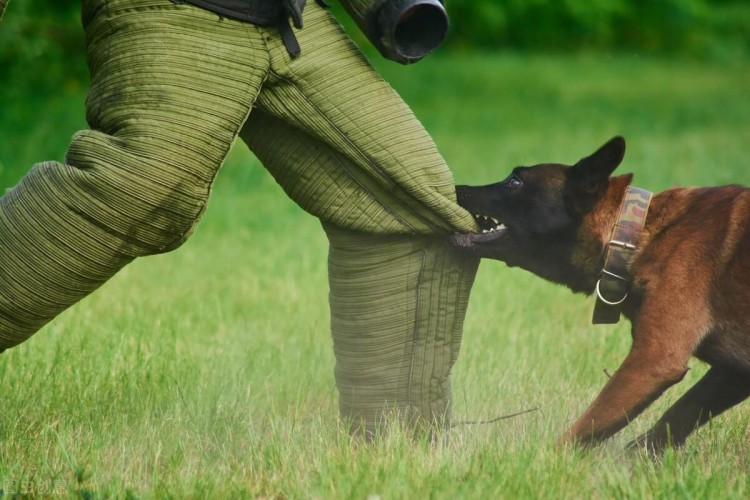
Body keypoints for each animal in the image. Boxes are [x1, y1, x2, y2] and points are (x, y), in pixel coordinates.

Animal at [452, 138, 750, 454]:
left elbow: (585, 427)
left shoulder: (653, 360)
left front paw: (546, 460)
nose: (456, 188)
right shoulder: (733, 373)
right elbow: (677, 416)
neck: (633, 236)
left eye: (515, 181)